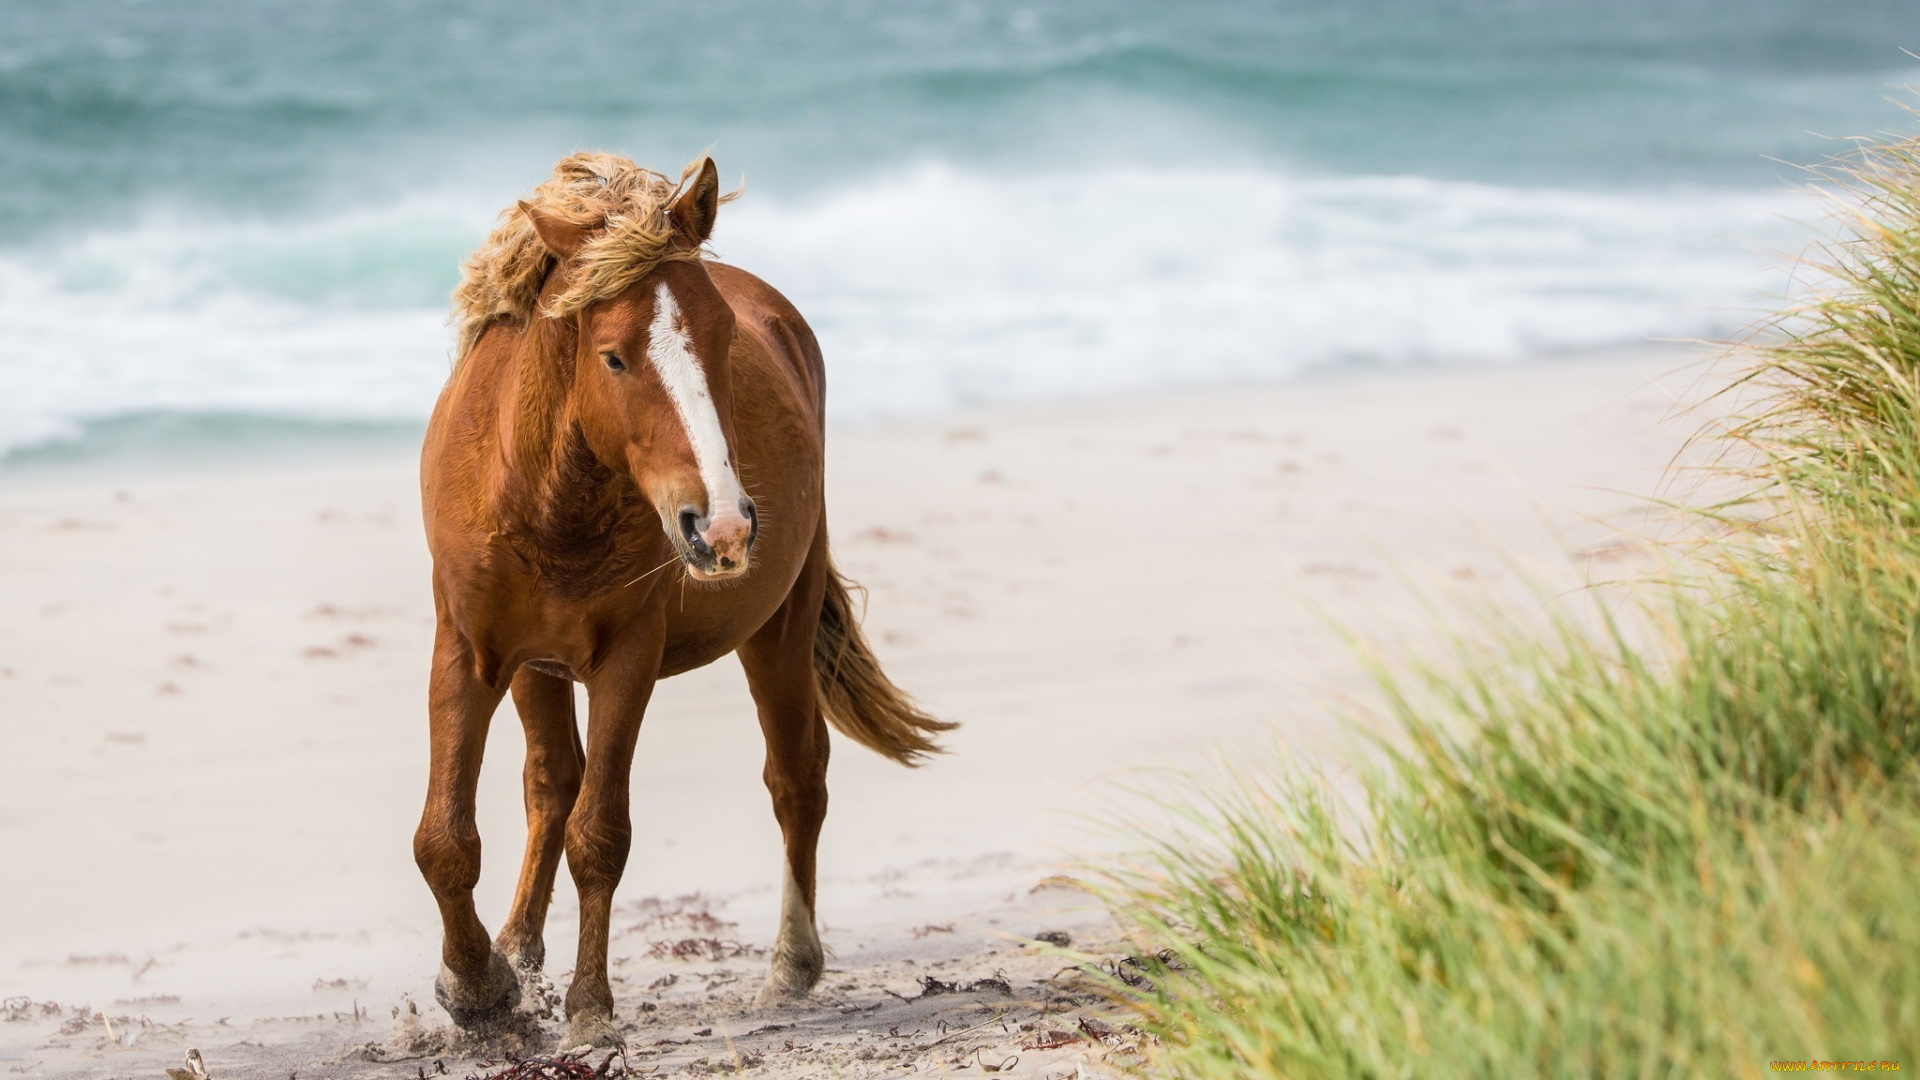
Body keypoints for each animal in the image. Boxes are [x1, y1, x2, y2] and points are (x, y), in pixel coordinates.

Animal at [414, 153, 952, 1045]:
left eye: (725, 340)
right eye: (613, 357)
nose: (724, 524)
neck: (544, 498)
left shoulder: (627, 659)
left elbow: (601, 834)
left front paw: (587, 1010)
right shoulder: (470, 649)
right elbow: (448, 839)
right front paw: (480, 987)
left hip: (779, 629)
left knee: (796, 778)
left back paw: (790, 965)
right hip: (537, 668)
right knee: (549, 784)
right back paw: (519, 948)